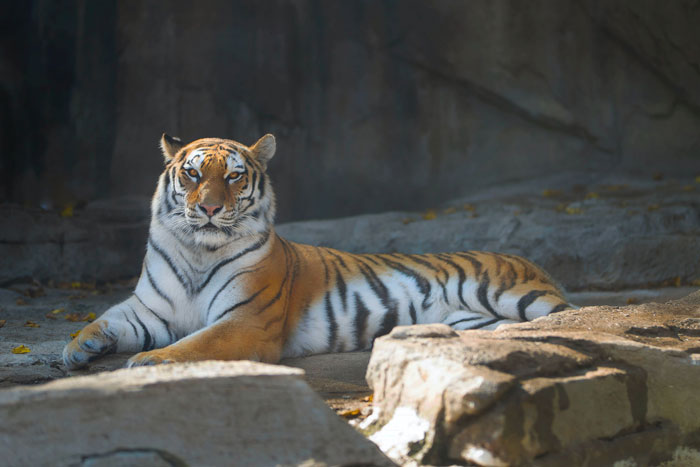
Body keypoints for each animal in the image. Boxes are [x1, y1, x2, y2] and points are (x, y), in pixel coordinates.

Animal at [63, 133, 572, 369]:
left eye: (233, 176)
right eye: (191, 173)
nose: (208, 208)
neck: (198, 251)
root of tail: (527, 259)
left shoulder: (247, 320)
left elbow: (198, 342)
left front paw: (150, 362)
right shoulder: (150, 309)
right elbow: (106, 318)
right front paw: (77, 348)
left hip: (516, 295)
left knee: (565, 315)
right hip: (476, 321)